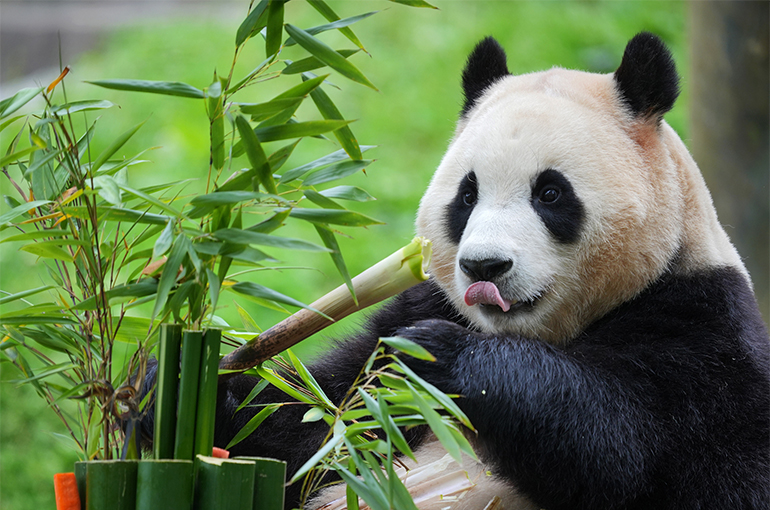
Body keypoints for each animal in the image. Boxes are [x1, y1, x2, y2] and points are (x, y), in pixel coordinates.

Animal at [146, 33, 768, 508]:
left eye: (550, 193)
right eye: (467, 195)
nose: (483, 266)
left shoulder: (700, 333)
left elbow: (620, 452)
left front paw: (438, 355)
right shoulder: (414, 308)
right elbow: (307, 424)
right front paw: (178, 391)